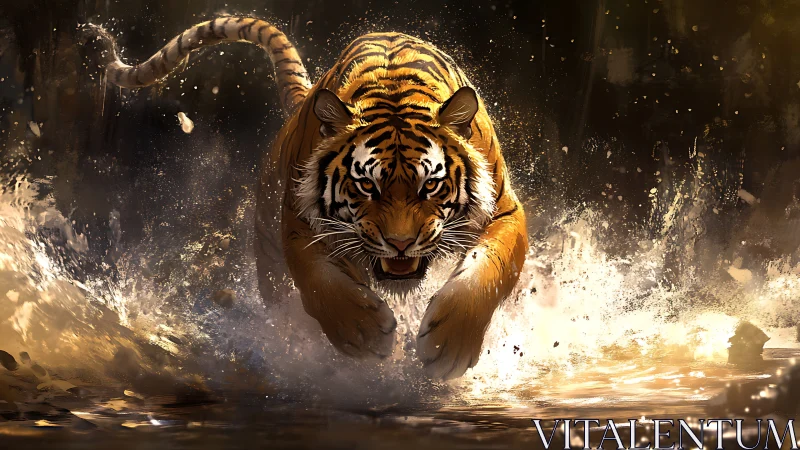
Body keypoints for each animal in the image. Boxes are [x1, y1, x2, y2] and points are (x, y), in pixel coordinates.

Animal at [83, 16, 528, 380]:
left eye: (429, 186)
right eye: (367, 186)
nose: (400, 244)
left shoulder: (505, 209)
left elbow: (489, 268)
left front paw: (447, 347)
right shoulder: (297, 218)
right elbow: (318, 280)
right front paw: (365, 336)